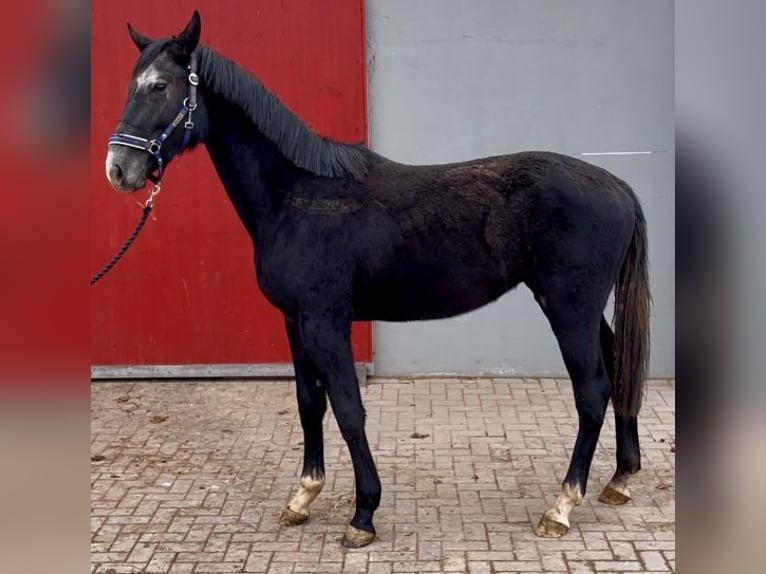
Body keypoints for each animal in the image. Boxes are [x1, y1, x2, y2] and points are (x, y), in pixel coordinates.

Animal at [105, 10, 652, 548]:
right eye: (131, 85)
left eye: (159, 87)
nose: (119, 169)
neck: (298, 195)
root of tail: (618, 187)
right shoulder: (295, 322)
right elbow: (309, 403)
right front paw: (302, 497)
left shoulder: (326, 323)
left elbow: (349, 408)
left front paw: (363, 514)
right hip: (584, 309)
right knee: (618, 369)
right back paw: (620, 480)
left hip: (568, 308)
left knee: (592, 390)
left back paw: (561, 506)